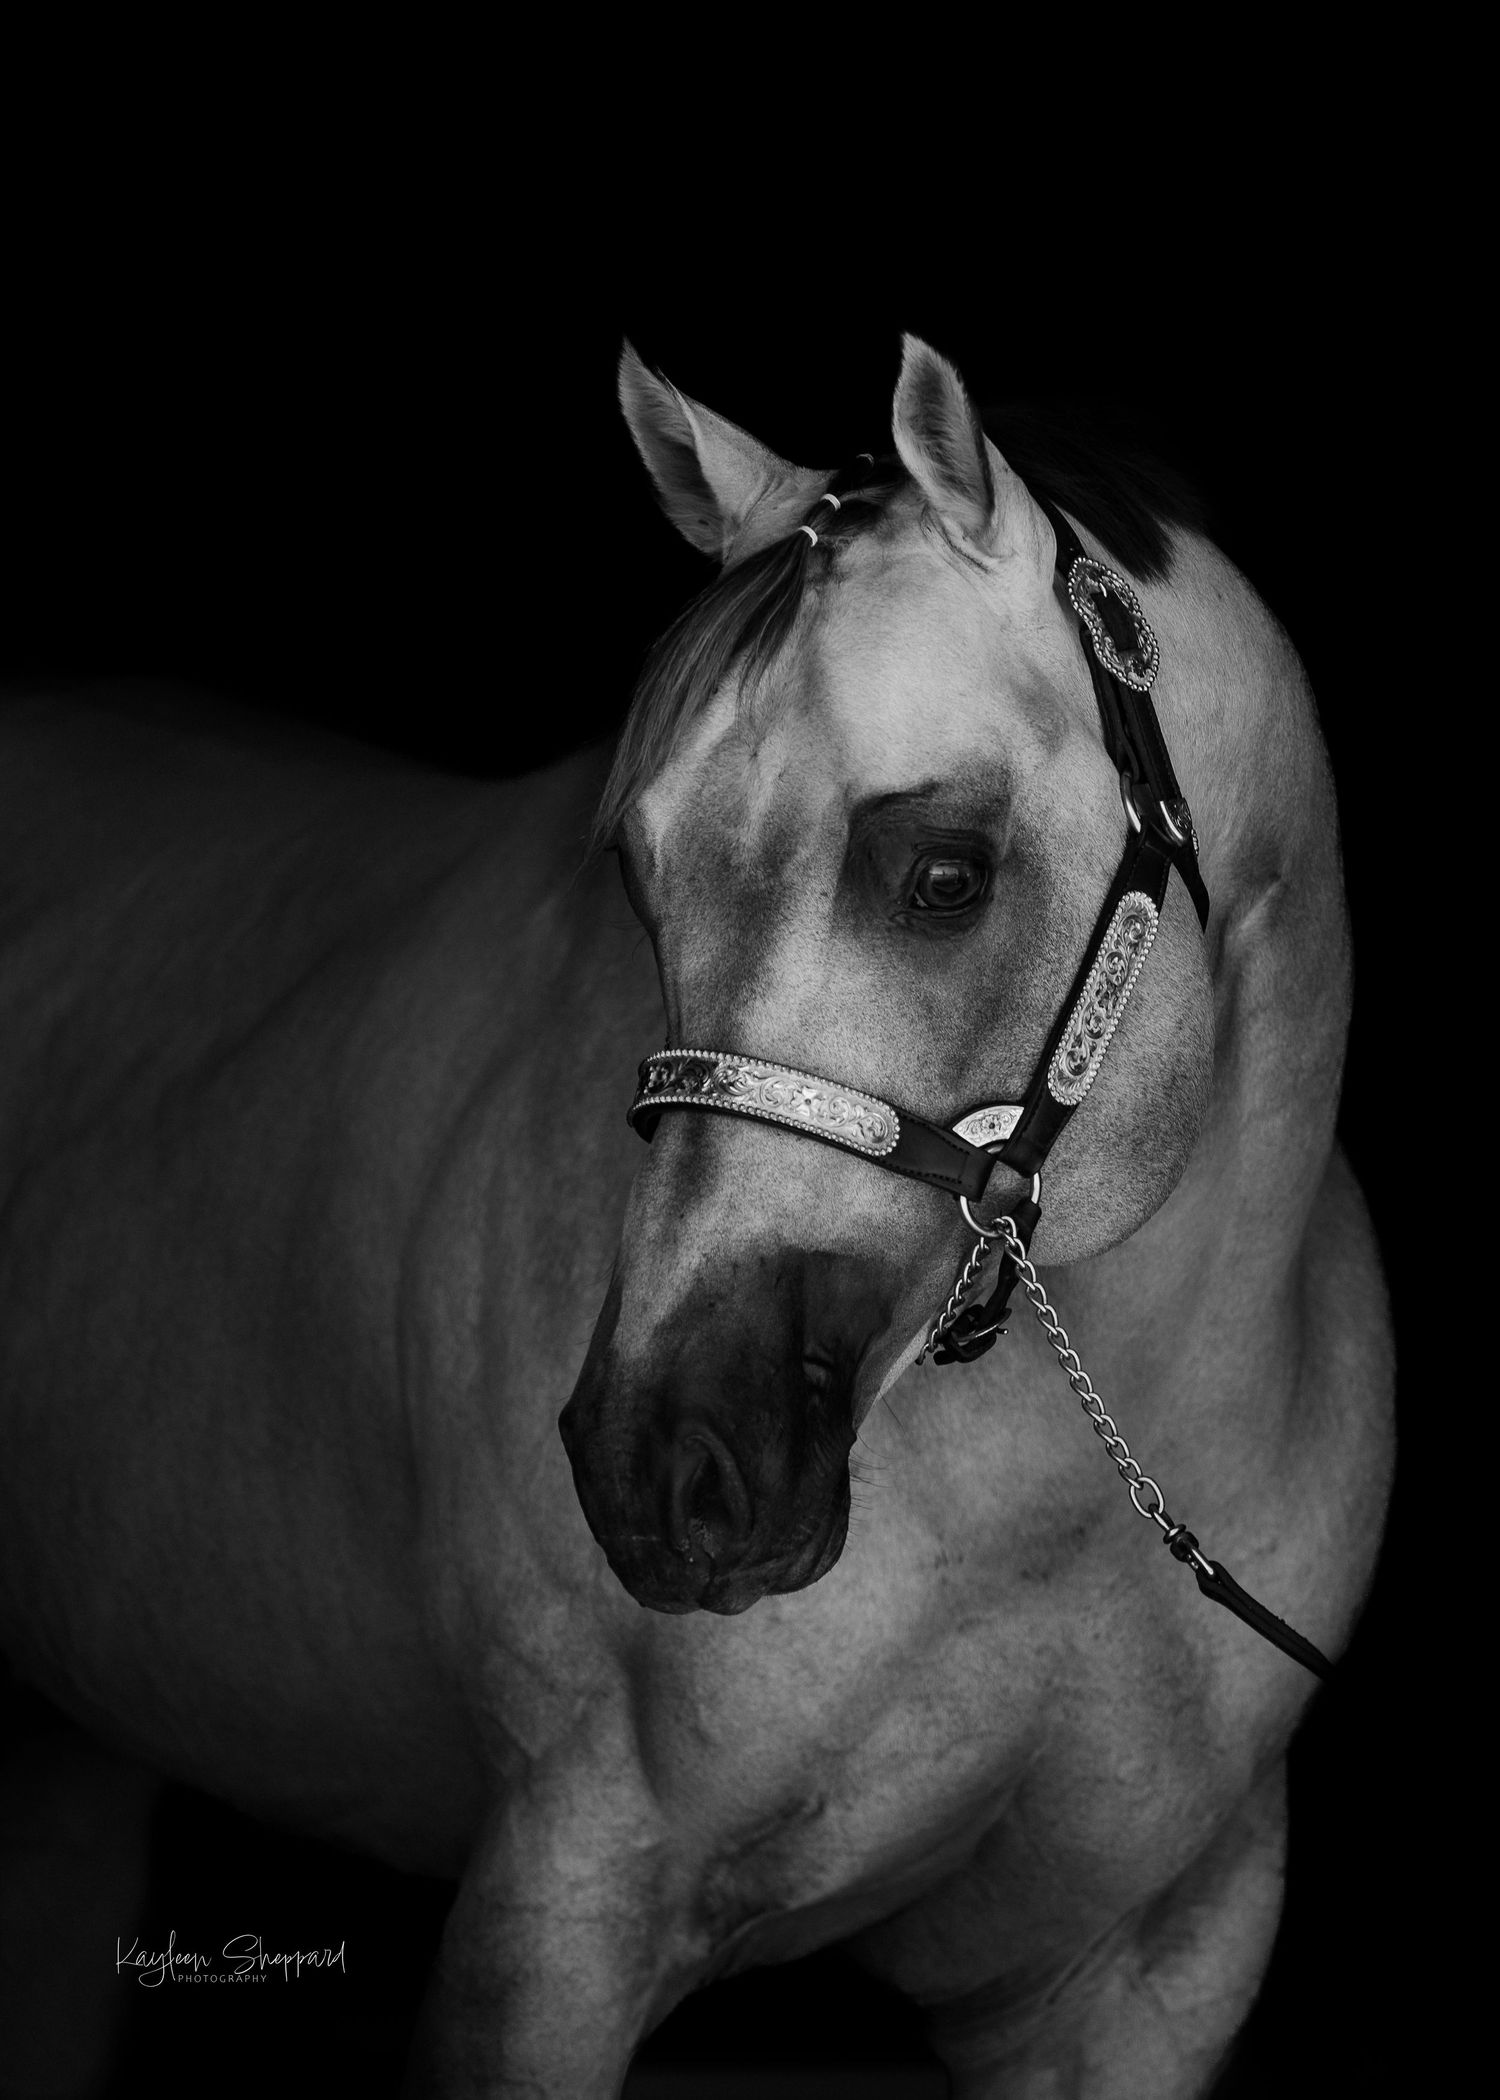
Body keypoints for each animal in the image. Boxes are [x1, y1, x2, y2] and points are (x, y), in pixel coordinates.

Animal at [0, 334, 1393, 2099]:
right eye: (638, 879)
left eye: (946, 873)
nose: (660, 1466)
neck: (1049, 1515)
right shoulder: (564, 1915)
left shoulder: (1143, 1975)